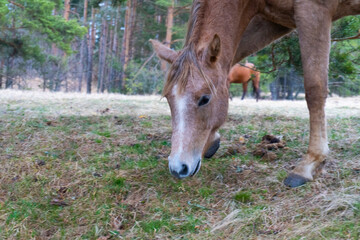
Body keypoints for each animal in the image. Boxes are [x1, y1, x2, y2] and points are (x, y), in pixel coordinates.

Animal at [151, 0, 360, 188]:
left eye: (205, 99)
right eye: (169, 99)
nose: (178, 168)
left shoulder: (314, 11)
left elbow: (314, 88)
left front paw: (310, 162)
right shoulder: (275, 21)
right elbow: (232, 56)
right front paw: (210, 142)